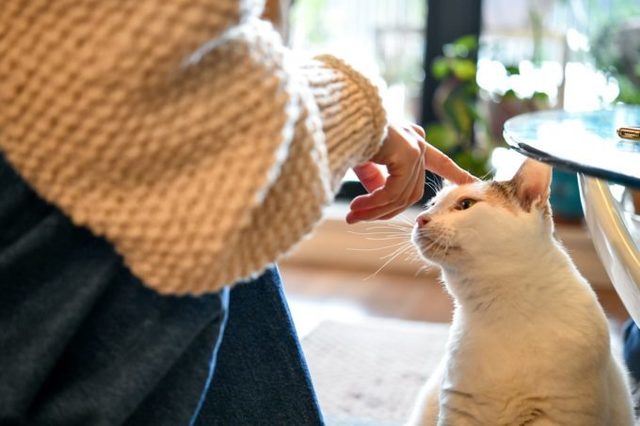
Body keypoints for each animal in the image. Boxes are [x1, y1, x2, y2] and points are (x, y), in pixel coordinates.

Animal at [408, 159, 632, 426]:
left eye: (465, 204)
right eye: (432, 204)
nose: (420, 218)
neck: (503, 309)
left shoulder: (558, 413)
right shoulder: (459, 410)